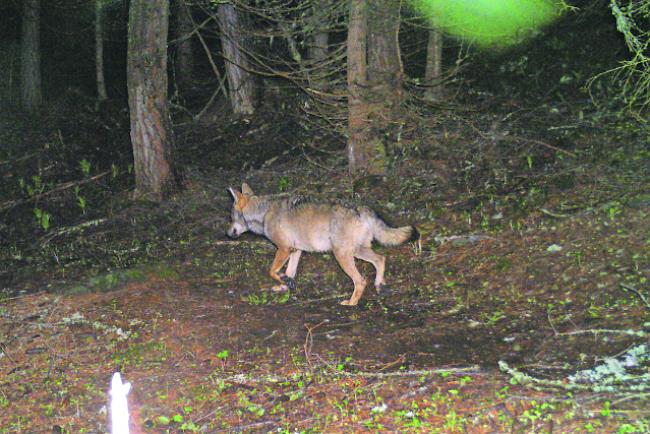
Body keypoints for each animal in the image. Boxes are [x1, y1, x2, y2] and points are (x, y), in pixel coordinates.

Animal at [225, 182, 412, 306]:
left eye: (231, 217)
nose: (227, 234)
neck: (264, 212)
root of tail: (360, 208)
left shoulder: (284, 249)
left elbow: (272, 271)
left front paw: (284, 281)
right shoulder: (295, 250)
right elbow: (289, 272)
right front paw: (285, 285)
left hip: (342, 255)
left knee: (360, 281)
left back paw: (351, 303)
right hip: (357, 251)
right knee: (380, 259)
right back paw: (379, 285)